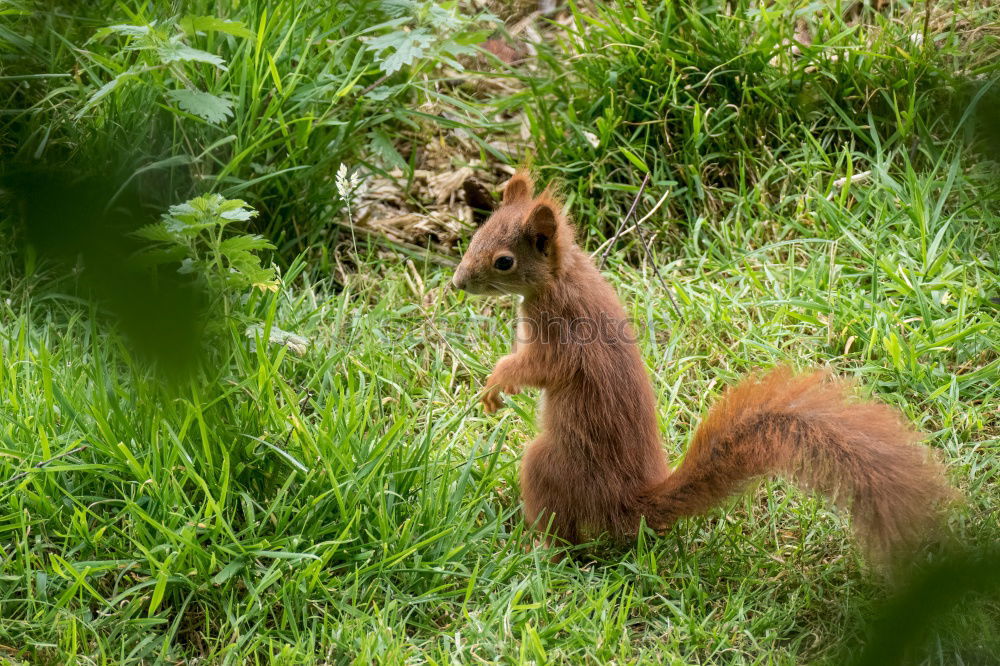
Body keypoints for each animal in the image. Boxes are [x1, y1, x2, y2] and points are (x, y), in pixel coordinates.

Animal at [454, 171, 952, 556]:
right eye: (476, 236)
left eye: (504, 261)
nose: (458, 282)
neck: (561, 278)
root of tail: (630, 503)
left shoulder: (561, 335)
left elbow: (538, 368)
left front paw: (495, 383)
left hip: (549, 463)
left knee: (567, 536)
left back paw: (535, 549)